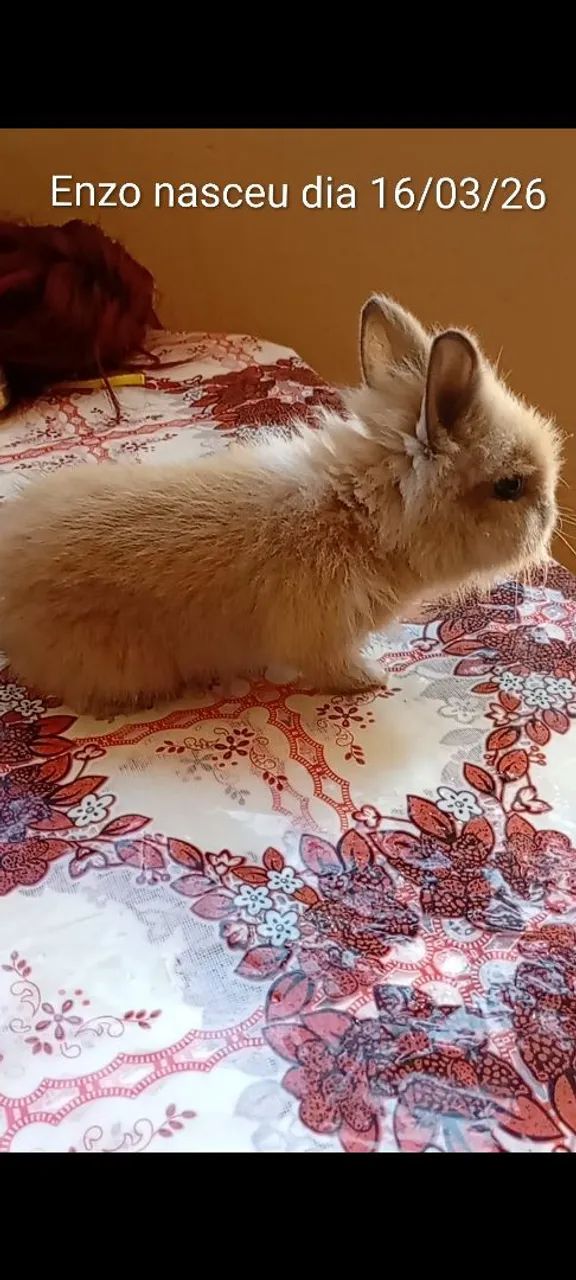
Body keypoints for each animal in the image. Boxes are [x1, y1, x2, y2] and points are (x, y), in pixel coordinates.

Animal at [0, 294, 562, 716]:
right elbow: (333, 667)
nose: (549, 520)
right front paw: (373, 680)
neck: (361, 519)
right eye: (510, 486)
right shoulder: (321, 636)